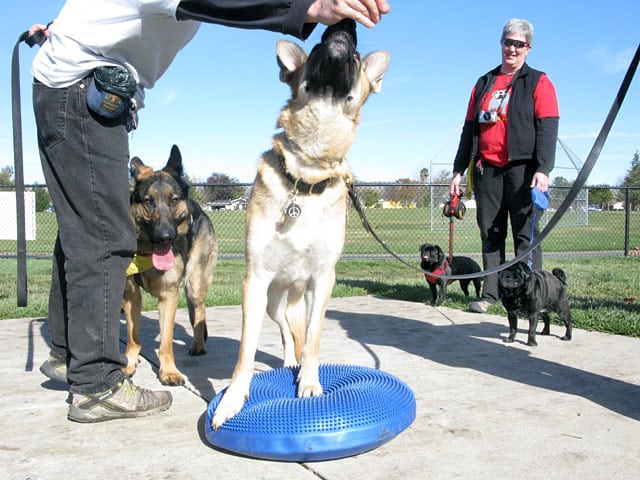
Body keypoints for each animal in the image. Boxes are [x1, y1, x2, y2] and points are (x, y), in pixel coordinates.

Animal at [122, 146, 218, 386]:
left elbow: (166, 340)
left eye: (173, 200)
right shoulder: (130, 295)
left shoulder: (169, 295)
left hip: (194, 284)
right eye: (148, 202)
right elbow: (132, 336)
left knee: (199, 312)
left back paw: (198, 345)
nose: (166, 236)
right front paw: (129, 363)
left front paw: (168, 372)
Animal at [212, 20, 388, 430]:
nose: (341, 30)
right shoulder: (254, 280)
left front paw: (309, 383)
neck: (307, 173)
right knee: (286, 332)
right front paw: (233, 399)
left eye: (356, 57)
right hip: (274, 300)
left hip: (298, 295)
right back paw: (287, 361)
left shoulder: (323, 279)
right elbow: (246, 350)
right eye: (318, 47)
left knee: (299, 333)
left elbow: (314, 338)